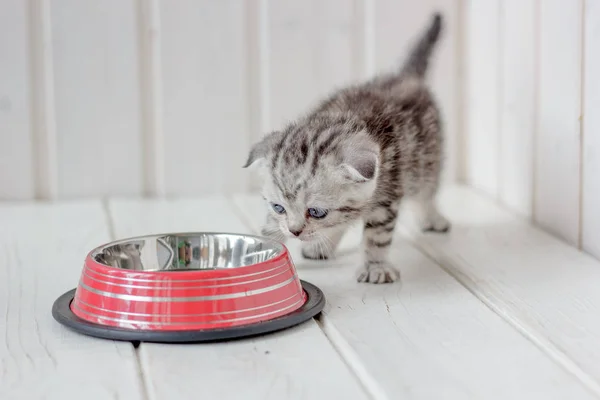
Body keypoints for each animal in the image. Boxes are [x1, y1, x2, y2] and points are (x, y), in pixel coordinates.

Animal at [241, 12, 448, 284]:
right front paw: (262, 250)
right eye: (278, 207)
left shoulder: (386, 196)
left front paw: (375, 266)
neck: (340, 119)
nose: (295, 232)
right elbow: (273, 226)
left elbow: (376, 236)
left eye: (316, 212)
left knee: (427, 193)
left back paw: (433, 218)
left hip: (427, 161)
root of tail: (405, 76)